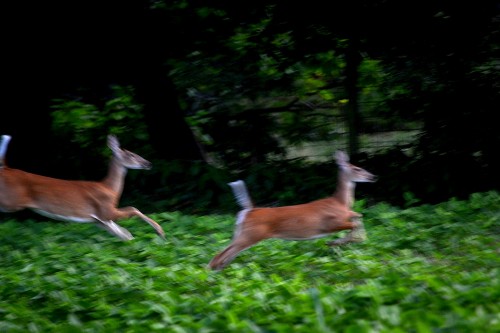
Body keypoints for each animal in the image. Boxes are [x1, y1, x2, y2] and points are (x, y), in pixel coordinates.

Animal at [0, 134, 166, 240]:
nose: (148, 164)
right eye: (131, 154)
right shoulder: (106, 210)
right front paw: (160, 232)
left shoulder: (99, 220)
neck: (109, 188)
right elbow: (133, 209)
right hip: (11, 201)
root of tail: (6, 169)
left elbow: (124, 234)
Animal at [207, 150, 376, 270]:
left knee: (222, 254)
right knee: (219, 256)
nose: (373, 176)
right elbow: (355, 223)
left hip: (240, 232)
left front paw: (339, 242)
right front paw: (336, 242)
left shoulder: (346, 216)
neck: (341, 203)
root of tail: (249, 211)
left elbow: (358, 217)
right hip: (252, 234)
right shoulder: (331, 223)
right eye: (357, 169)